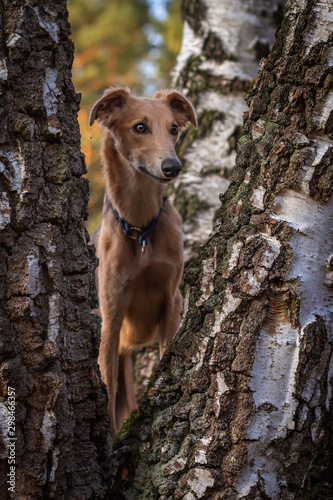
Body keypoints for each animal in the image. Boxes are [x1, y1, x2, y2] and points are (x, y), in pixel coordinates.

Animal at [89, 88, 196, 432]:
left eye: (173, 128)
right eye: (139, 127)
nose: (173, 167)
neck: (140, 229)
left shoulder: (171, 300)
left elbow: (165, 356)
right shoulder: (110, 315)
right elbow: (107, 393)